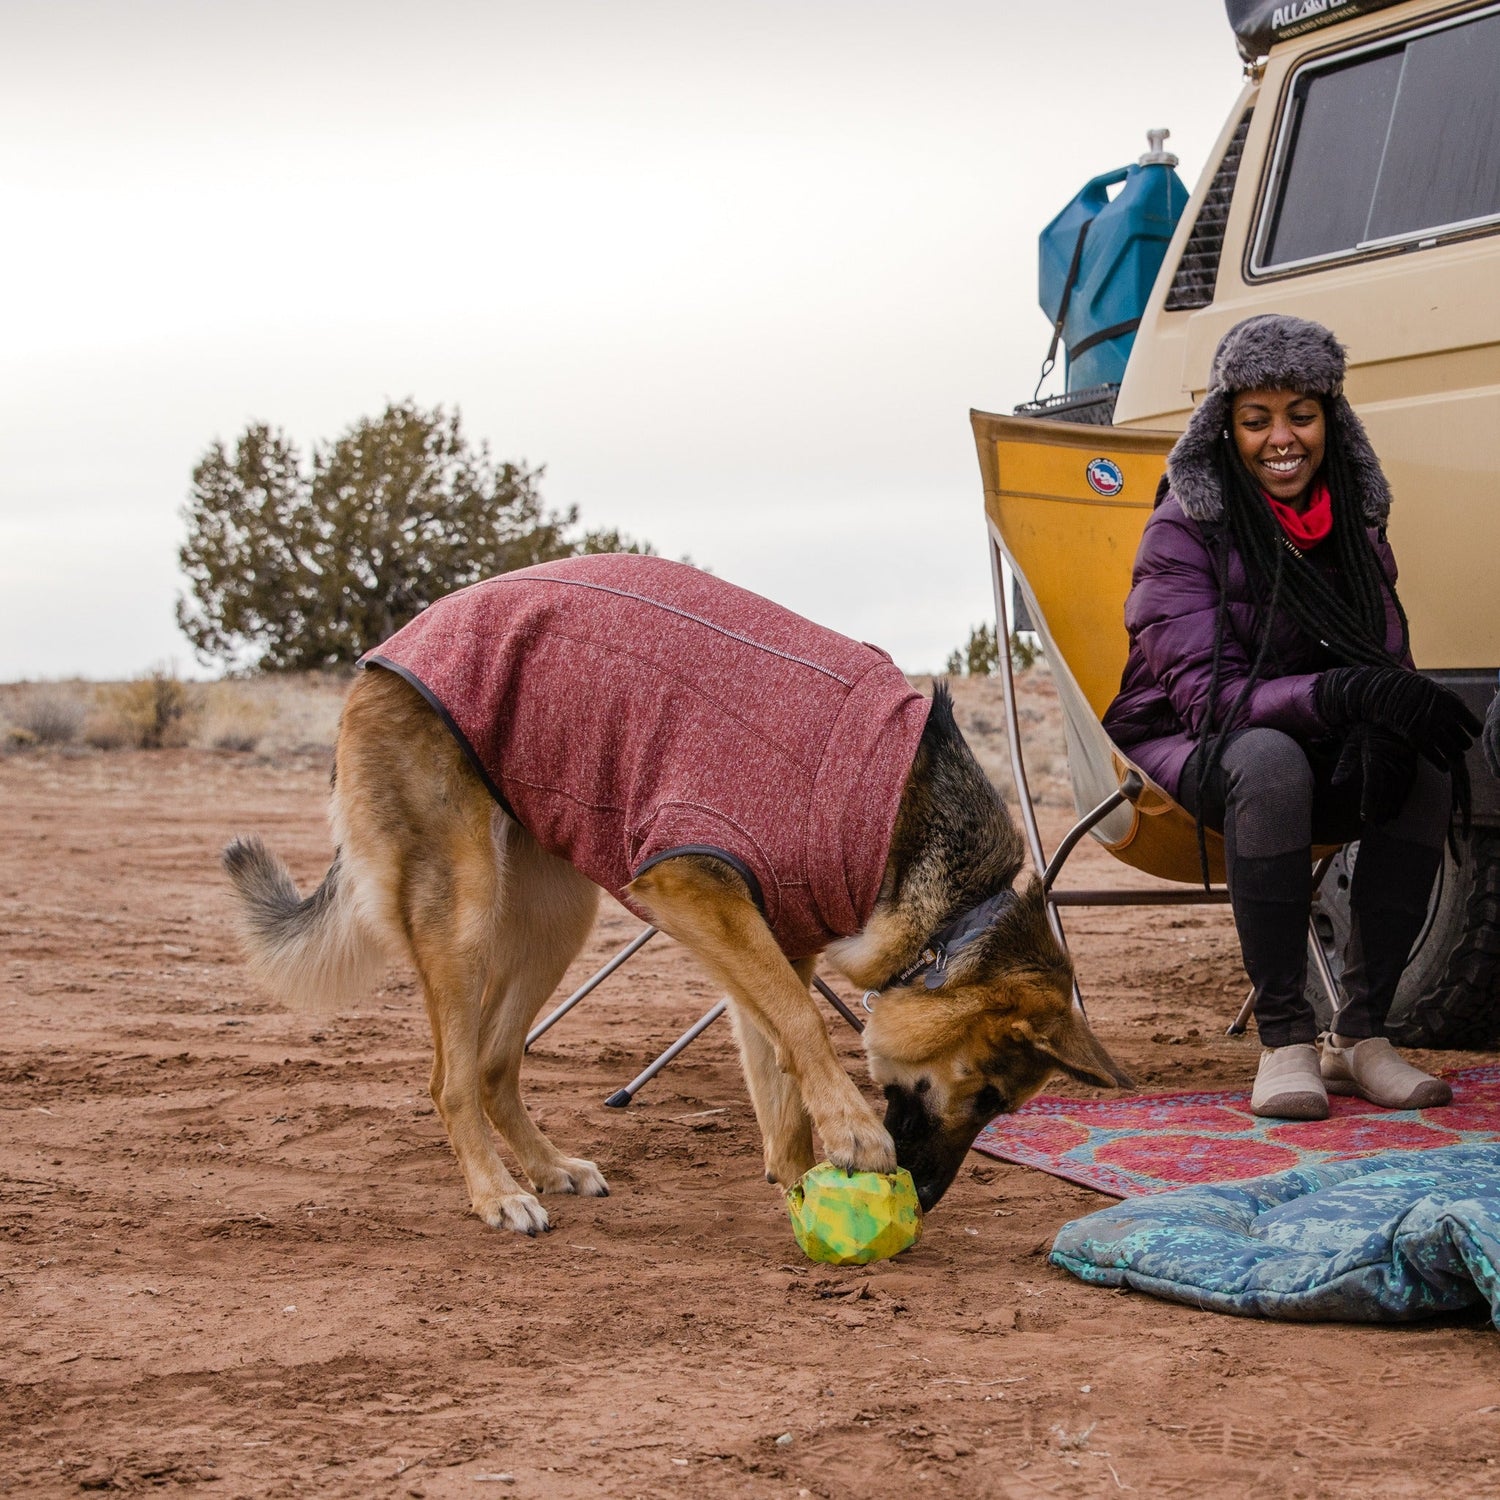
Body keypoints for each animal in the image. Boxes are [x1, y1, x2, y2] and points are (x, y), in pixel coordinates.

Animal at [228, 576, 1128, 1230]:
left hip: (554, 920)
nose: (929, 1198)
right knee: (449, 1079)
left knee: (490, 1064)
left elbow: (778, 1064)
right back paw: (496, 1193)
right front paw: (850, 1135)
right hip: (466, 915)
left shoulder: (773, 940)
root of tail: (381, 656)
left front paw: (800, 1184)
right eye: (988, 1096)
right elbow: (801, 1025)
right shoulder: (699, 887)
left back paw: (548, 1168)